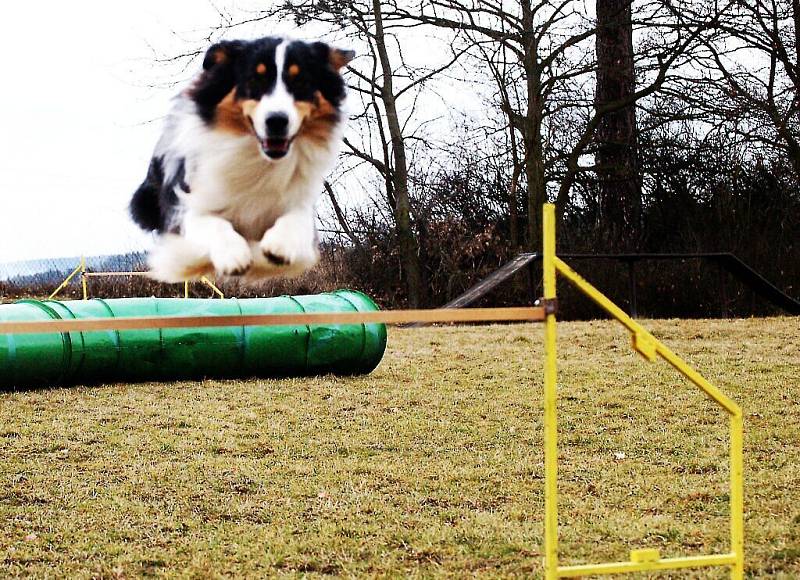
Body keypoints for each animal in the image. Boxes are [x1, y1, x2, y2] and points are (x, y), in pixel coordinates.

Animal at [129, 35, 354, 280]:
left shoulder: (299, 202)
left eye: (301, 82)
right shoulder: (189, 203)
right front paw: (234, 255)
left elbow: (297, 220)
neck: (258, 158)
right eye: (255, 80)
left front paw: (279, 246)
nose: (276, 120)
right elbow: (211, 223)